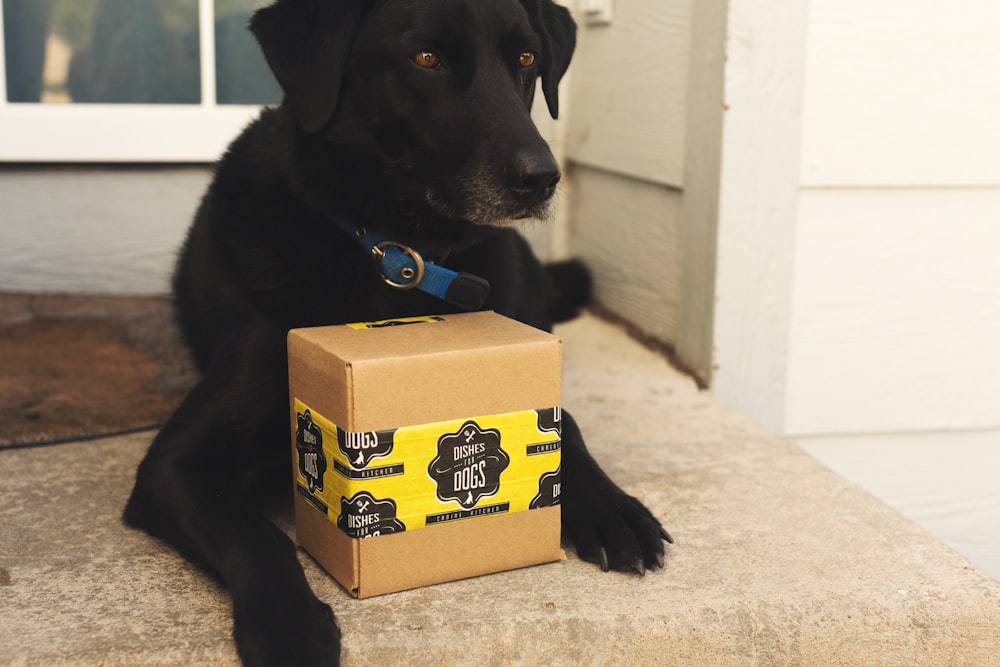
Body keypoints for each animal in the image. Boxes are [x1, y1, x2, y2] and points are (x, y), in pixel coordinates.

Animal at [125, 2, 672, 664]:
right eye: (425, 57)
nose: (542, 179)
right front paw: (288, 625)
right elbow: (256, 533)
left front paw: (613, 507)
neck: (397, 255)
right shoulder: (173, 466)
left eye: (526, 59)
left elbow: (568, 425)